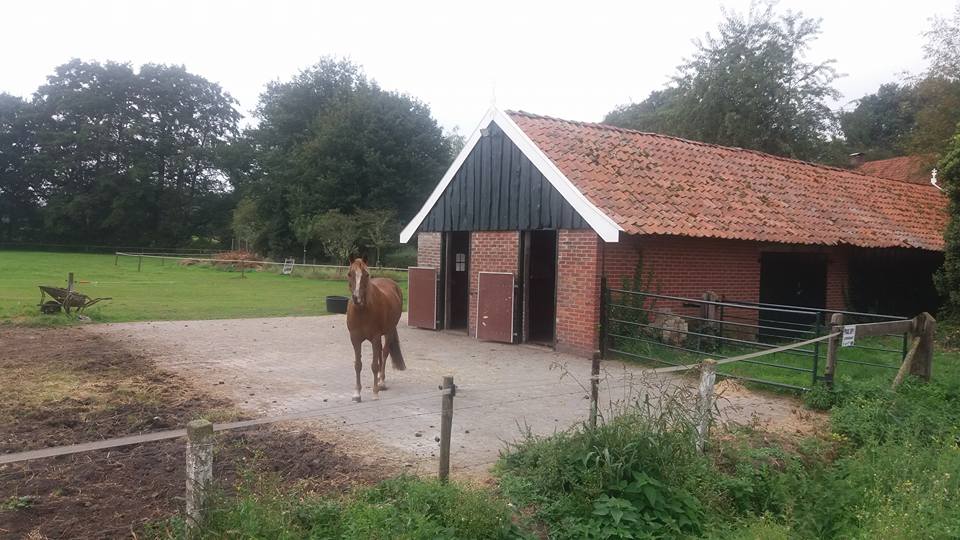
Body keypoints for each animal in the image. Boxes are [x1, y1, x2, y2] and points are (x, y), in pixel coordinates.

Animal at [345, 258, 405, 402]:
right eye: (349, 274)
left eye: (366, 274)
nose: (356, 298)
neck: (362, 311)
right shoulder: (355, 339)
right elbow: (358, 364)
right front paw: (357, 394)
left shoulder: (375, 337)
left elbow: (374, 365)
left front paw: (375, 393)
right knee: (379, 354)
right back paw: (378, 379)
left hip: (389, 332)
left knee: (384, 353)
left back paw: (381, 382)